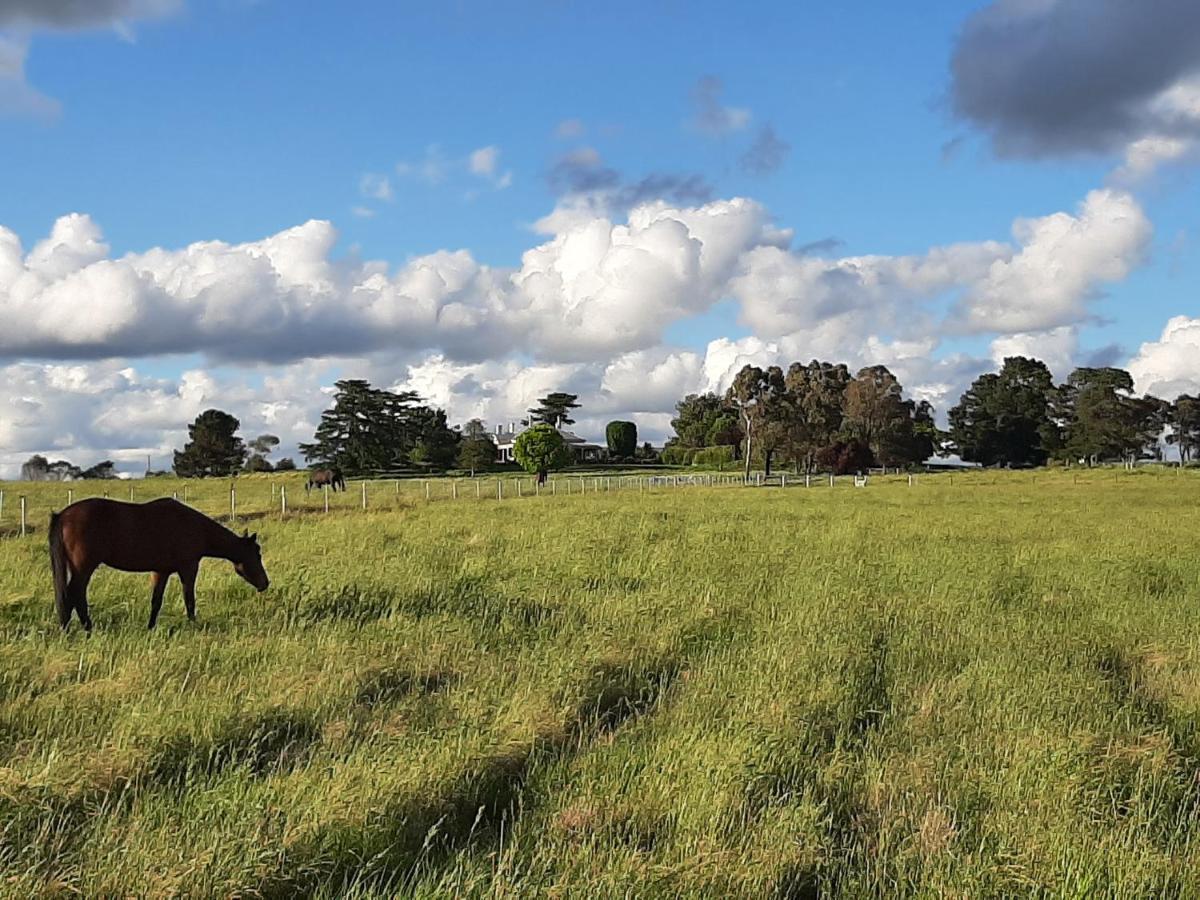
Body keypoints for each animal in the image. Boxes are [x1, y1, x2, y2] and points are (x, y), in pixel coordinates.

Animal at [48, 501, 268, 633]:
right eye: (257, 554)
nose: (266, 583)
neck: (195, 527)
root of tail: (63, 515)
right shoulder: (188, 569)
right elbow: (189, 600)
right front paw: (194, 625)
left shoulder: (160, 572)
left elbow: (156, 602)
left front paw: (151, 628)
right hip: (84, 567)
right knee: (75, 594)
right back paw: (85, 629)